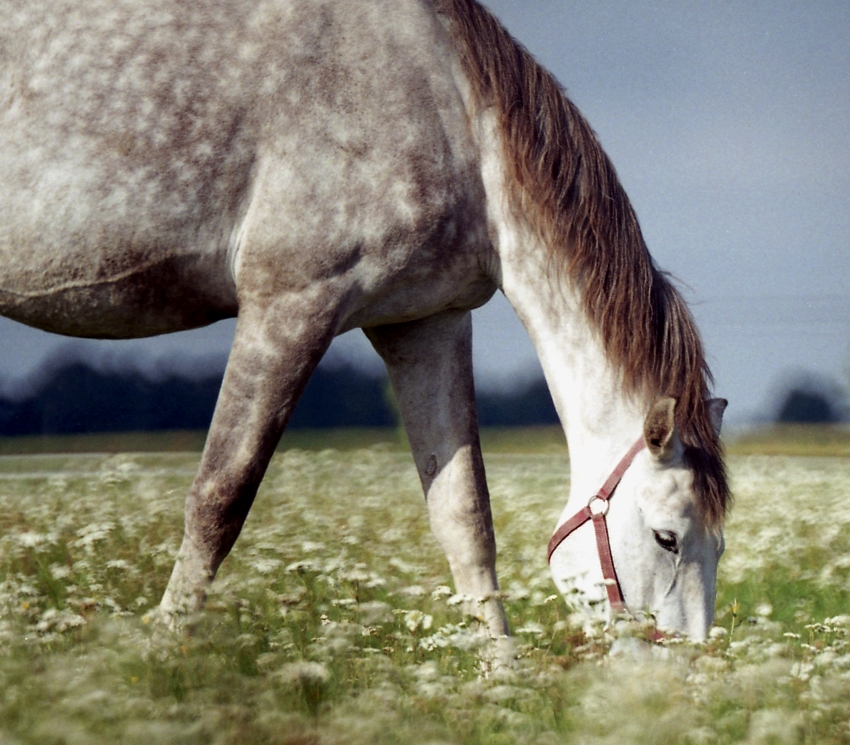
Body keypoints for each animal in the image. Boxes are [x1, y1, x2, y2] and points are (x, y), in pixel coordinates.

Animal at [1, 0, 728, 640]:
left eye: (718, 545)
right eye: (667, 537)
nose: (678, 674)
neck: (448, 105)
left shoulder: (427, 323)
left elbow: (465, 521)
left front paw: (502, 683)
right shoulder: (288, 306)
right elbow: (218, 499)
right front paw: (161, 658)